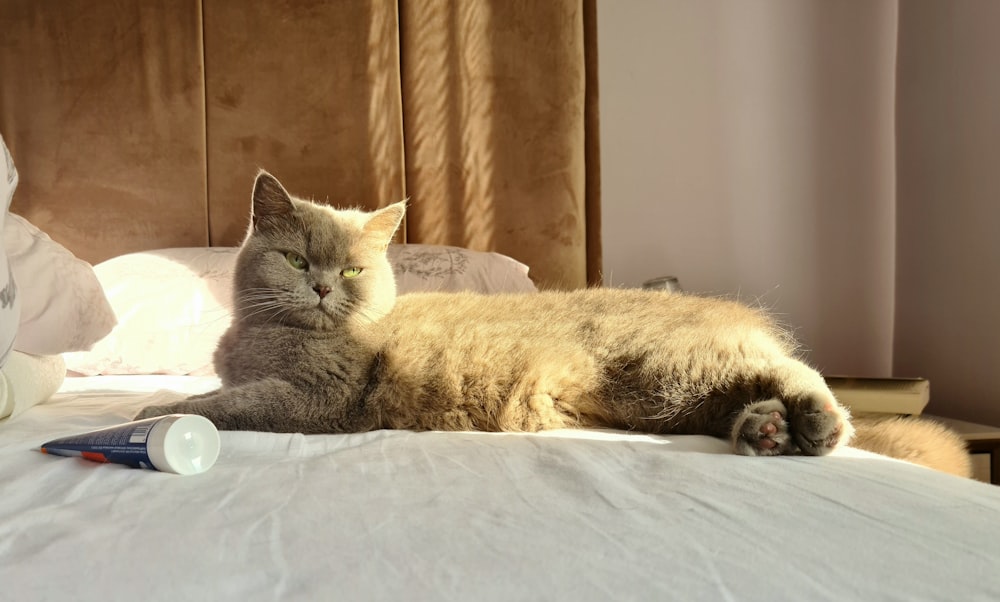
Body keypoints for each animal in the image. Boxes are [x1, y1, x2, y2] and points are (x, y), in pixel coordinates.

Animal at [133, 172, 856, 454]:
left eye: (352, 270)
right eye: (295, 259)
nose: (321, 289)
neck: (259, 337)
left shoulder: (321, 395)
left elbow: (231, 403)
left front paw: (155, 410)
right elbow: (226, 392)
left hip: (670, 367)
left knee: (803, 375)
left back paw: (811, 423)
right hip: (668, 399)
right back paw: (767, 429)